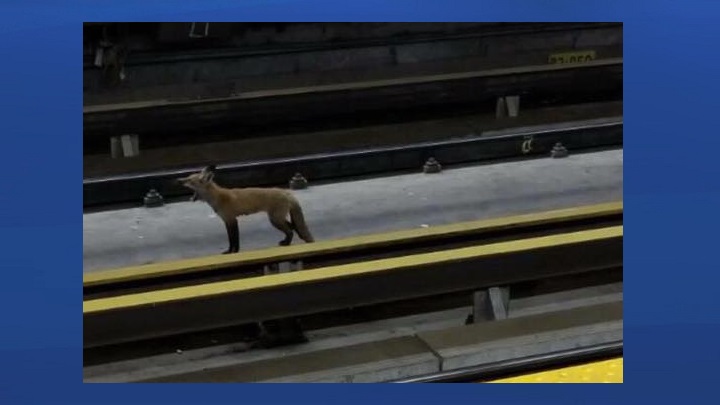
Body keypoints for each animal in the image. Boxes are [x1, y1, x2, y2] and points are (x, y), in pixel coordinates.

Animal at [177, 165, 315, 254]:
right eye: (187, 177)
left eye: (190, 180)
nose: (179, 180)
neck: (218, 197)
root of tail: (286, 192)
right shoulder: (227, 221)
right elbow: (231, 238)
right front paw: (231, 251)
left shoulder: (231, 220)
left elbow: (234, 239)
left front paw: (233, 251)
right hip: (277, 219)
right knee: (293, 227)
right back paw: (287, 241)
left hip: (275, 220)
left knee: (291, 230)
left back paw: (287, 243)